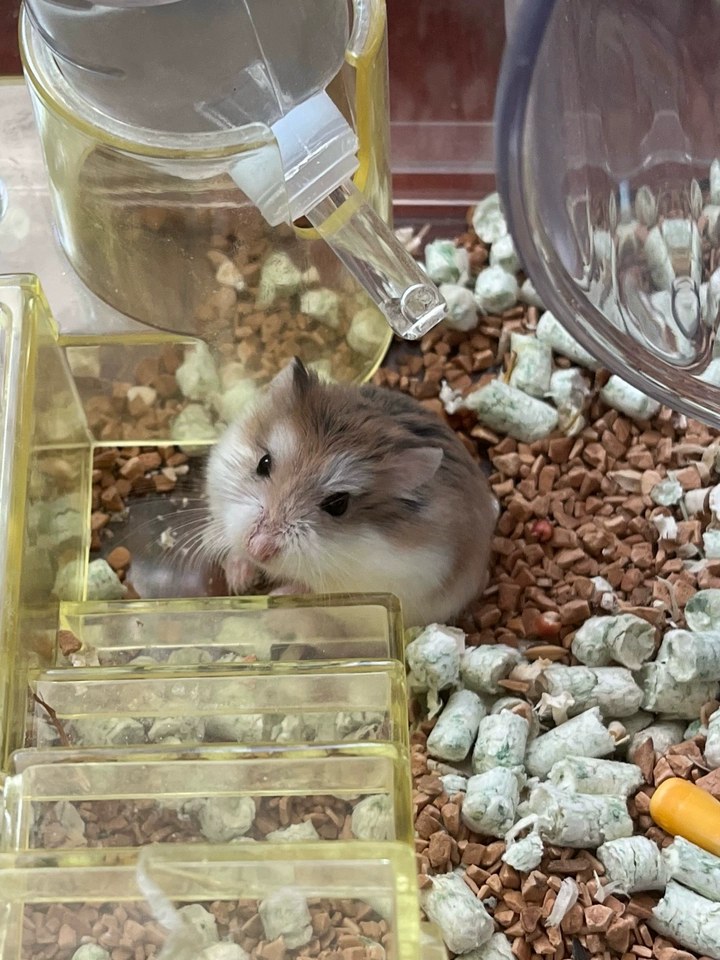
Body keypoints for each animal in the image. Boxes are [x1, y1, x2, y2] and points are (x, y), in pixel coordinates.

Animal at [205, 358, 498, 627]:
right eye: (263, 463)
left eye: (338, 504)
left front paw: (275, 596)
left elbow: (311, 590)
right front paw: (239, 581)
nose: (258, 550)